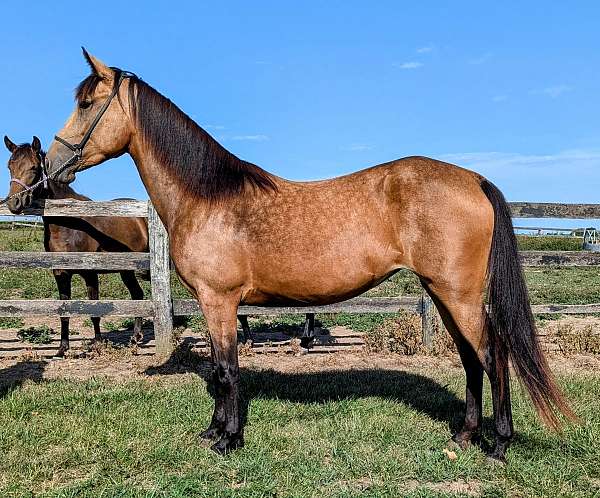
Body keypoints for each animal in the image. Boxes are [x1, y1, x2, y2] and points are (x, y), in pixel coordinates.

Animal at [43, 50, 576, 460]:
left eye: (87, 103)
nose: (53, 163)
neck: (208, 197)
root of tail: (474, 179)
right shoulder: (214, 305)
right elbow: (218, 368)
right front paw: (214, 431)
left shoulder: (219, 301)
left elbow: (227, 370)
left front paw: (227, 440)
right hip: (444, 294)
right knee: (471, 359)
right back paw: (465, 435)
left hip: (458, 294)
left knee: (493, 355)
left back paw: (499, 444)